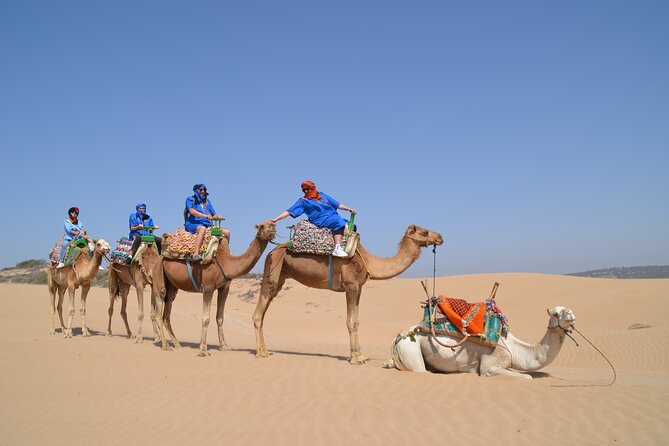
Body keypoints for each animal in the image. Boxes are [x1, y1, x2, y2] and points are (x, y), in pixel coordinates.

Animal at [155, 221, 276, 358]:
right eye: (262, 226)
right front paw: (203, 350)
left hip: (172, 285)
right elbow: (206, 318)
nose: (273, 227)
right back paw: (165, 345)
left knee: (167, 311)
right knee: (159, 308)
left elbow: (220, 317)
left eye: (272, 224)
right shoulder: (208, 287)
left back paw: (176, 343)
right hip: (159, 272)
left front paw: (224, 346)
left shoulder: (224, 288)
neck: (226, 262)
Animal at [253, 225, 440, 364]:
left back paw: (265, 350)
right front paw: (356, 359)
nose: (440, 237)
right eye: (424, 232)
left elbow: (356, 321)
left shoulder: (358, 288)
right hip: (273, 271)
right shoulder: (351, 286)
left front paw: (361, 355)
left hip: (281, 277)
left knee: (262, 313)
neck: (369, 261)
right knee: (258, 313)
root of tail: (272, 251)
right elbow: (351, 322)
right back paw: (261, 353)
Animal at [386, 306, 576, 380]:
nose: (572, 314)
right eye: (556, 314)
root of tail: (397, 338)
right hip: (410, 348)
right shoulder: (489, 365)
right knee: (420, 370)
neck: (513, 347)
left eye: (566, 309)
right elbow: (527, 377)